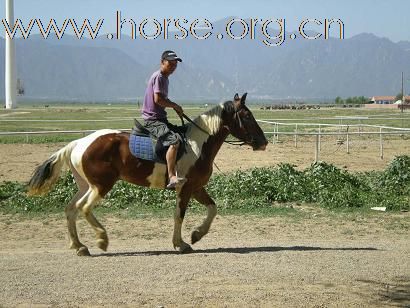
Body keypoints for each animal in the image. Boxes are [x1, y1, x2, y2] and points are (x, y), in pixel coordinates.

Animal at [28, 93, 266, 255]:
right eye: (246, 115)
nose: (263, 142)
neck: (197, 144)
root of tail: (79, 143)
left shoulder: (197, 187)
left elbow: (213, 208)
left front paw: (197, 234)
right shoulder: (186, 188)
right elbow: (179, 215)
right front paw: (181, 243)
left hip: (87, 185)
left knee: (70, 209)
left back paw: (79, 246)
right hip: (101, 186)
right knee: (83, 208)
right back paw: (101, 239)